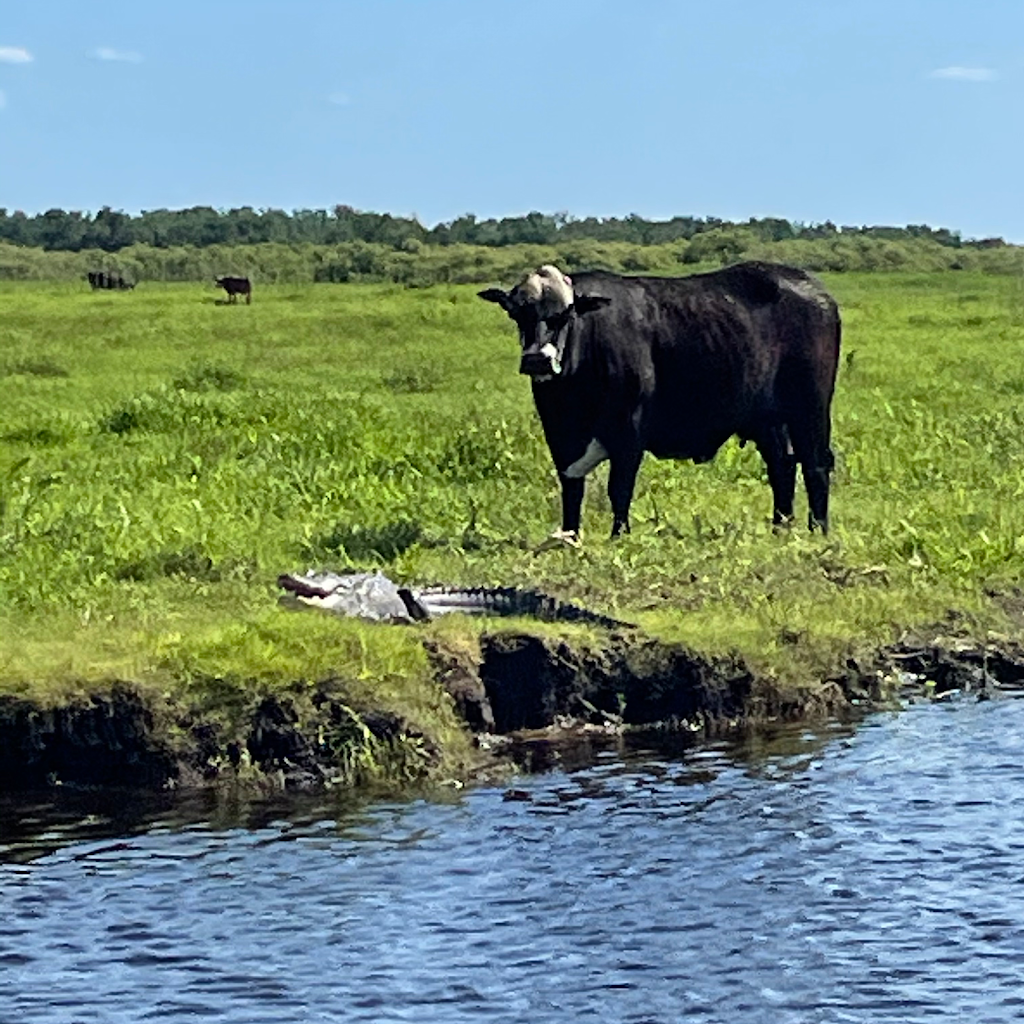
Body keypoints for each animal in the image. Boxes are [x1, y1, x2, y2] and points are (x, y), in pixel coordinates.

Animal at [479, 264, 839, 544]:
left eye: (565, 315)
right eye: (516, 313)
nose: (537, 360)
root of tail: (816, 290)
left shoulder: (629, 431)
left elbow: (619, 487)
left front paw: (618, 535)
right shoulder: (560, 434)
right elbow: (572, 486)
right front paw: (569, 536)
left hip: (811, 409)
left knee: (816, 465)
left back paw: (818, 531)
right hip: (769, 420)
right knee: (782, 465)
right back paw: (781, 528)